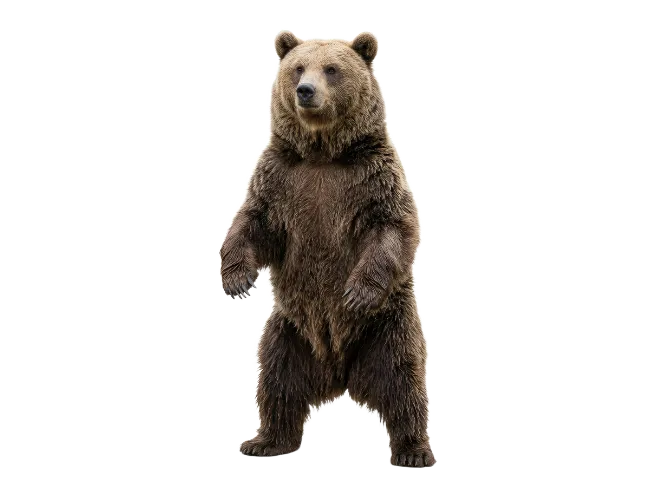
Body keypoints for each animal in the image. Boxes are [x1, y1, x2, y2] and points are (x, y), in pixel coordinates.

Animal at [219, 31, 435, 468]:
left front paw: (356, 291)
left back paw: (414, 451)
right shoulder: (282, 178)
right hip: (289, 331)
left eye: (332, 69)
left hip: (387, 326)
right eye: (298, 67)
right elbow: (253, 222)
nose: (305, 91)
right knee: (277, 379)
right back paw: (264, 441)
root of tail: (340, 374)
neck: (323, 152)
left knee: (403, 380)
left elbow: (392, 226)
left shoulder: (372, 177)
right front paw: (236, 279)